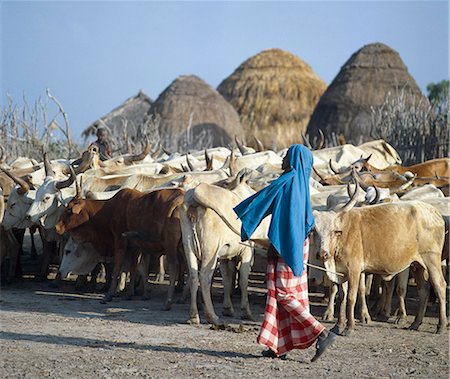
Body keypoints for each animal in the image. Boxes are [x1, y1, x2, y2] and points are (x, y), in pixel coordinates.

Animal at [55, 187, 185, 308]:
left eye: (69, 209)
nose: (57, 227)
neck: (108, 210)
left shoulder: (120, 240)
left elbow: (118, 267)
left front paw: (110, 294)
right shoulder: (134, 246)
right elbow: (134, 267)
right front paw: (130, 293)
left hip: (170, 245)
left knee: (174, 266)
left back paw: (168, 302)